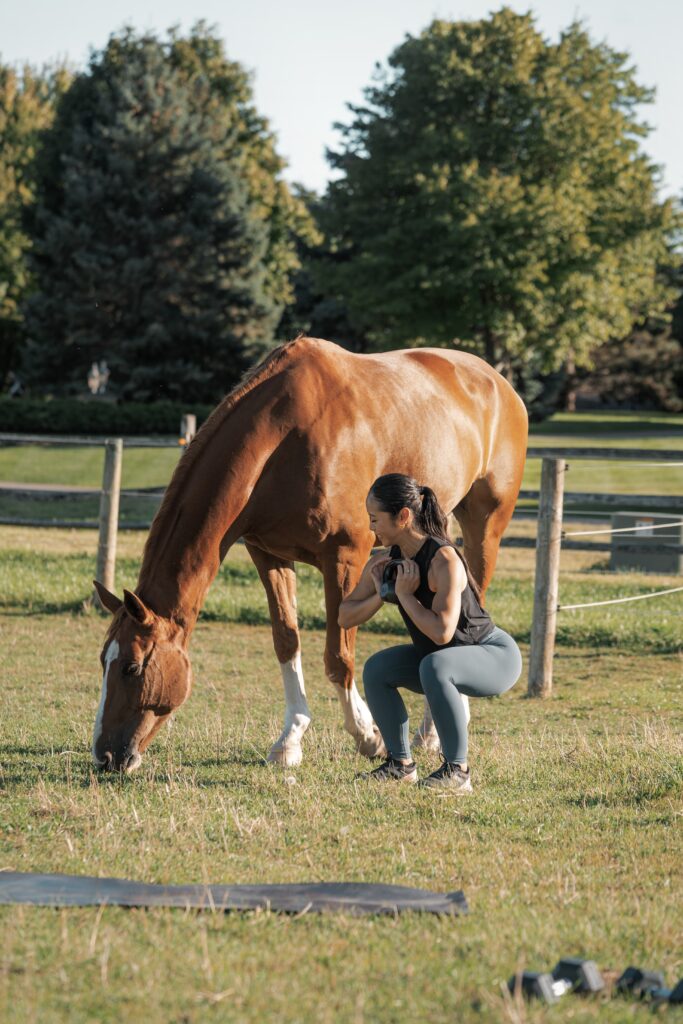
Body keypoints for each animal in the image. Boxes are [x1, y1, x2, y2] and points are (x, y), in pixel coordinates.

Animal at [92, 335, 528, 770]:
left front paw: (368, 736)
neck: (283, 441)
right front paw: (290, 740)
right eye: (102, 661)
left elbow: (339, 656)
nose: (105, 755)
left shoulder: (344, 559)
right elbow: (287, 641)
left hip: (484, 527)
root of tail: (498, 383)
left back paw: (436, 730)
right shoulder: (269, 556)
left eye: (131, 666)